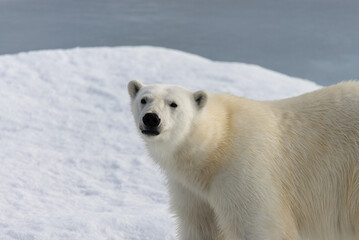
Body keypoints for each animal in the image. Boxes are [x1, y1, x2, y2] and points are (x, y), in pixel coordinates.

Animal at [128, 79, 359, 239]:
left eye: (173, 104)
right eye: (144, 99)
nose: (151, 119)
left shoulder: (244, 170)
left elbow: (259, 227)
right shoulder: (191, 191)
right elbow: (200, 226)